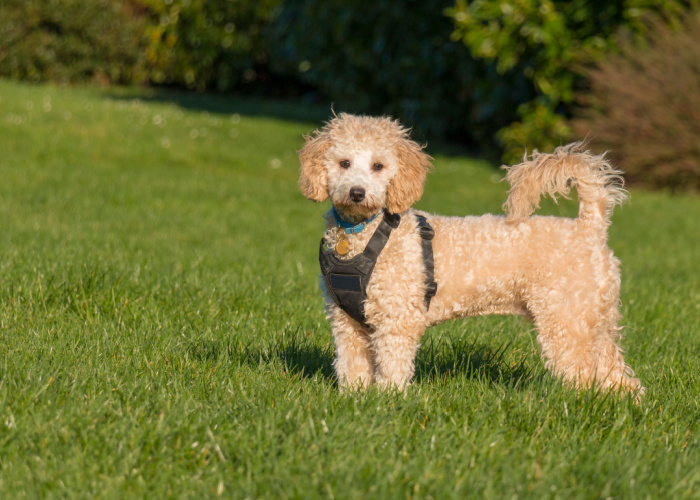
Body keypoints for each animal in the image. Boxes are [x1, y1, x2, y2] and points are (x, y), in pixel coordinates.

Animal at [298, 112, 644, 394]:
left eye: (378, 166)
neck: (364, 235)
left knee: (584, 376)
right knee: (619, 377)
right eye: (344, 163)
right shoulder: (347, 323)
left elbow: (393, 369)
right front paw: (355, 400)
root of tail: (590, 225)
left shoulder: (396, 321)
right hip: (595, 321)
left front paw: (387, 402)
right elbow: (352, 368)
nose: (357, 192)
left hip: (566, 321)